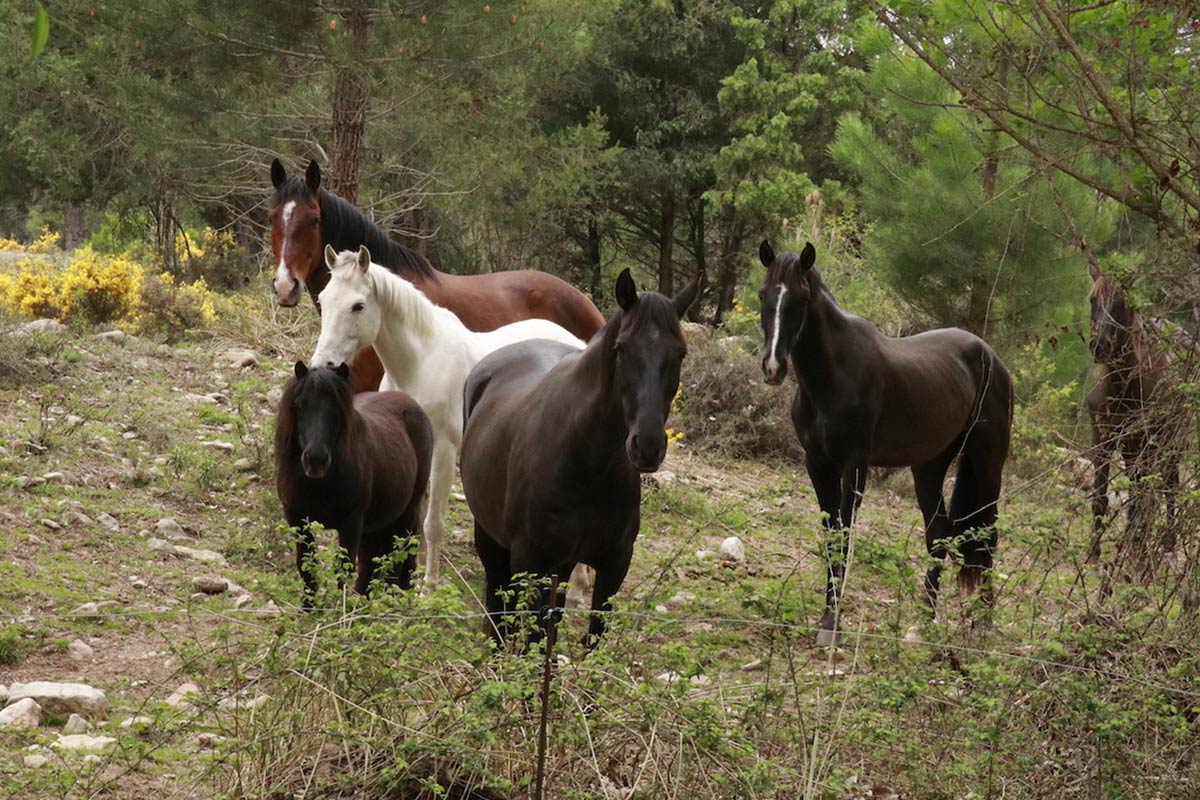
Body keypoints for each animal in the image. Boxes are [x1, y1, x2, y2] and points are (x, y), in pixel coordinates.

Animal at [275, 361, 433, 607]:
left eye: (337, 408)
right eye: (300, 405)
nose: (316, 459)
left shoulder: (351, 522)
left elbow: (344, 567)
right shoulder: (297, 519)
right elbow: (306, 565)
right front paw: (308, 608)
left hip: (405, 513)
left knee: (401, 557)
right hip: (374, 524)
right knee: (371, 561)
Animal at [310, 245, 586, 586]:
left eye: (357, 306)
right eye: (323, 300)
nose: (323, 365)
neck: (421, 362)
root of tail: (578, 345)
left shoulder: (443, 451)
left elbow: (433, 523)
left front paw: (427, 587)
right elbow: (416, 522)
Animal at [460, 268, 700, 646]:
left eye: (680, 353)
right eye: (621, 348)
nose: (647, 446)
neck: (587, 464)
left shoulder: (614, 564)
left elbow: (591, 638)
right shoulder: (531, 562)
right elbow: (530, 638)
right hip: (492, 539)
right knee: (499, 610)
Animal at [758, 241, 1013, 645]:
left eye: (802, 298)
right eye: (763, 294)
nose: (772, 367)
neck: (832, 376)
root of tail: (991, 358)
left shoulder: (854, 466)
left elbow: (844, 538)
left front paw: (831, 624)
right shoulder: (817, 463)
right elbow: (831, 538)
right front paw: (828, 619)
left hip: (987, 463)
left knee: (987, 534)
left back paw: (983, 623)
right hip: (929, 466)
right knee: (939, 533)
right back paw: (923, 621)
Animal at [1084, 263, 1184, 567]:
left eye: (1121, 303)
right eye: (1093, 301)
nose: (1100, 345)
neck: (1123, 384)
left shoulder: (1148, 444)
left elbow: (1143, 499)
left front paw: (1137, 550)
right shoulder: (1102, 439)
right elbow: (1101, 496)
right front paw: (1093, 553)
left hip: (1167, 444)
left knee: (1169, 486)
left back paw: (1167, 542)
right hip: (1132, 449)